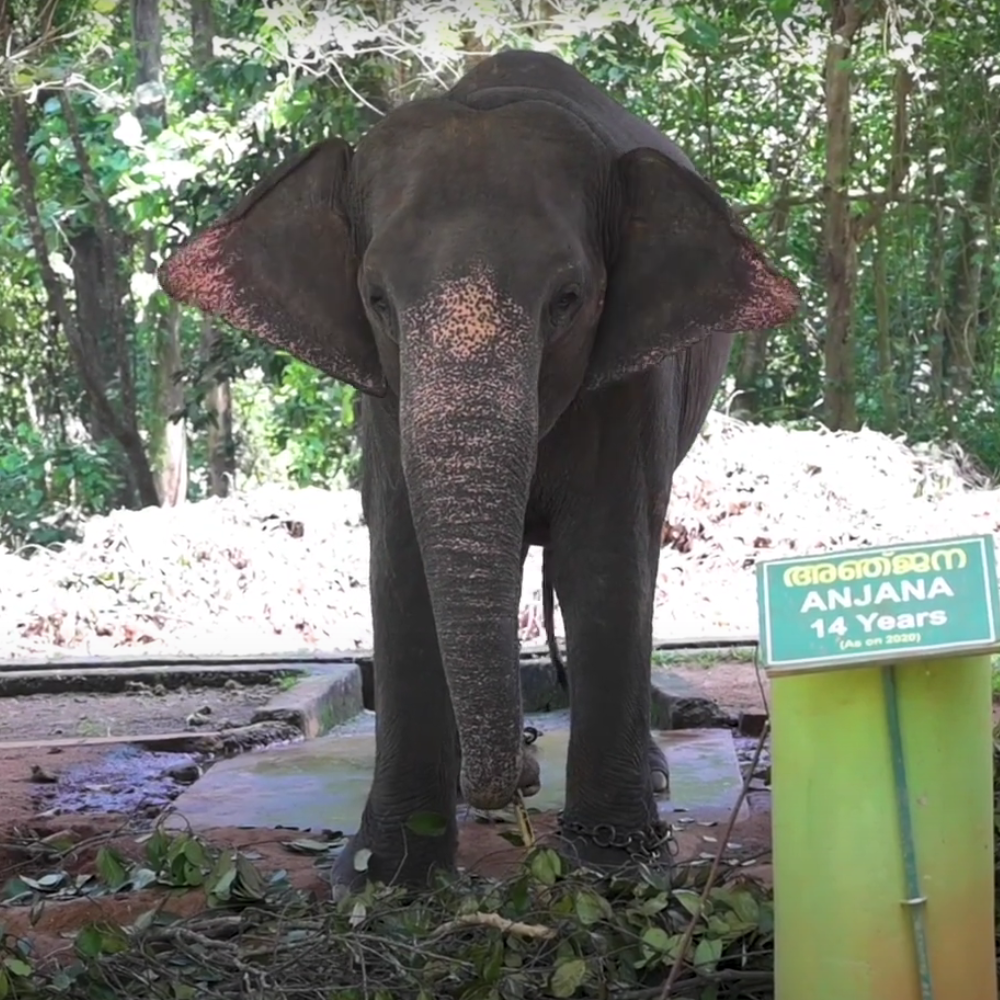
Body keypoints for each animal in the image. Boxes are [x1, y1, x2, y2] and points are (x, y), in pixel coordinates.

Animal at [157, 48, 799, 891]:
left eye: (568, 299)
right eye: (376, 299)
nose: (519, 782)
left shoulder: (629, 388)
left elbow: (605, 561)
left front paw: (616, 870)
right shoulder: (383, 395)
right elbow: (401, 563)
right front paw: (384, 878)